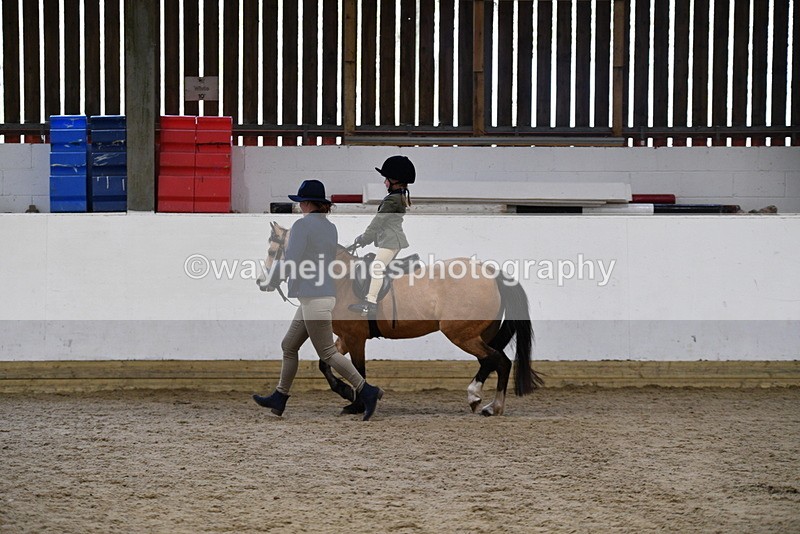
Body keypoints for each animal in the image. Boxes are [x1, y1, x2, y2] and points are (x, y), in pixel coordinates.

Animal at [256, 221, 543, 416]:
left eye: (272, 252)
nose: (261, 283)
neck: (341, 278)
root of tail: (492, 272)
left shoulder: (355, 337)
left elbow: (357, 369)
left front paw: (359, 403)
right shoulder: (345, 337)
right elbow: (326, 364)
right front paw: (348, 395)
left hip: (462, 334)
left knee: (498, 361)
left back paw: (483, 401)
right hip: (479, 333)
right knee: (494, 361)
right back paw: (485, 403)